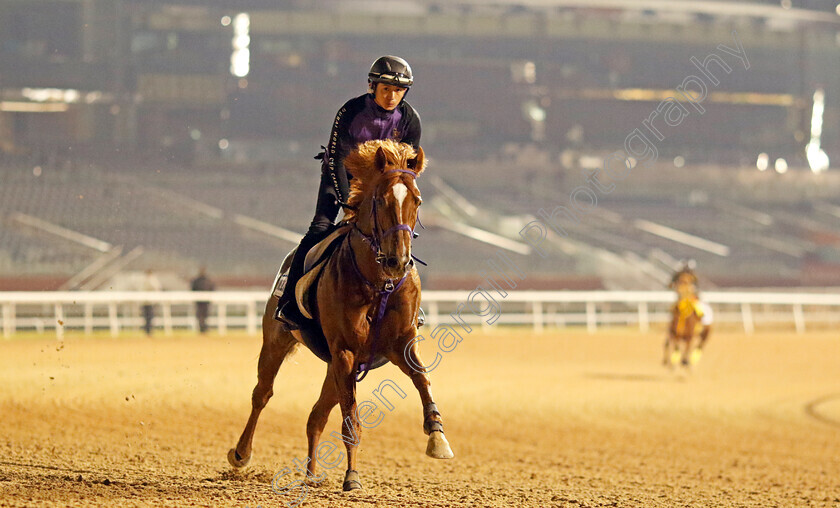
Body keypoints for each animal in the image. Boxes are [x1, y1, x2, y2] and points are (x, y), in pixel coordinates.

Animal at [225, 139, 452, 492]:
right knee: (262, 395)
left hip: (335, 366)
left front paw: (437, 436)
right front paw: (352, 477)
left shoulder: (397, 345)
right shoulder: (344, 350)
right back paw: (241, 454)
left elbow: (422, 378)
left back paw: (311, 474)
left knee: (315, 415)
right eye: (381, 199)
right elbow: (351, 419)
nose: (398, 261)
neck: (378, 284)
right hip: (277, 341)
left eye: (417, 199)